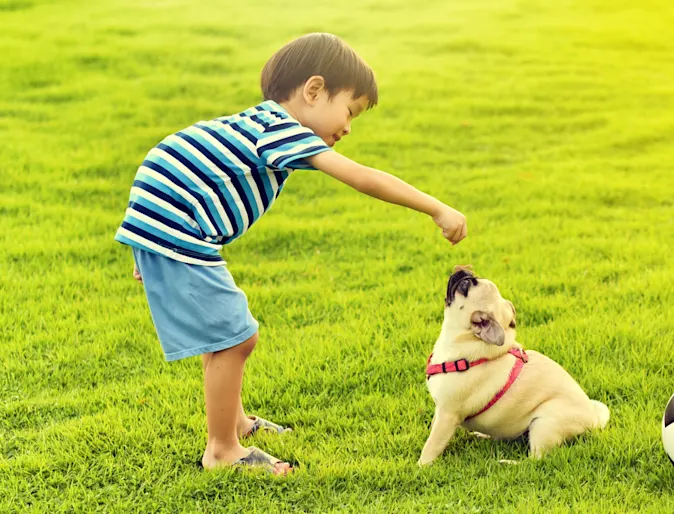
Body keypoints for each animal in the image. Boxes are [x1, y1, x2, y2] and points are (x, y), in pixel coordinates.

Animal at [418, 268, 608, 464]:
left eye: (466, 285)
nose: (463, 271)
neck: (469, 340)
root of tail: (594, 421)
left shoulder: (447, 415)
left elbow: (432, 445)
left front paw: (421, 466)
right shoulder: (440, 411)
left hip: (544, 424)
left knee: (535, 459)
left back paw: (508, 463)